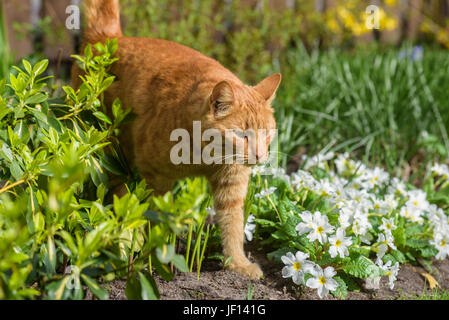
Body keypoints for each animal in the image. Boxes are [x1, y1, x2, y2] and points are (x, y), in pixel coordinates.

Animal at [73, 0, 280, 278]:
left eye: (266, 133)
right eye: (241, 134)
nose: (259, 155)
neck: (206, 155)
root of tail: (109, 37)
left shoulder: (232, 186)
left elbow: (233, 227)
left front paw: (238, 264)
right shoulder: (156, 178)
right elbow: (156, 220)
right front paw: (154, 258)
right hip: (111, 152)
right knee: (120, 196)